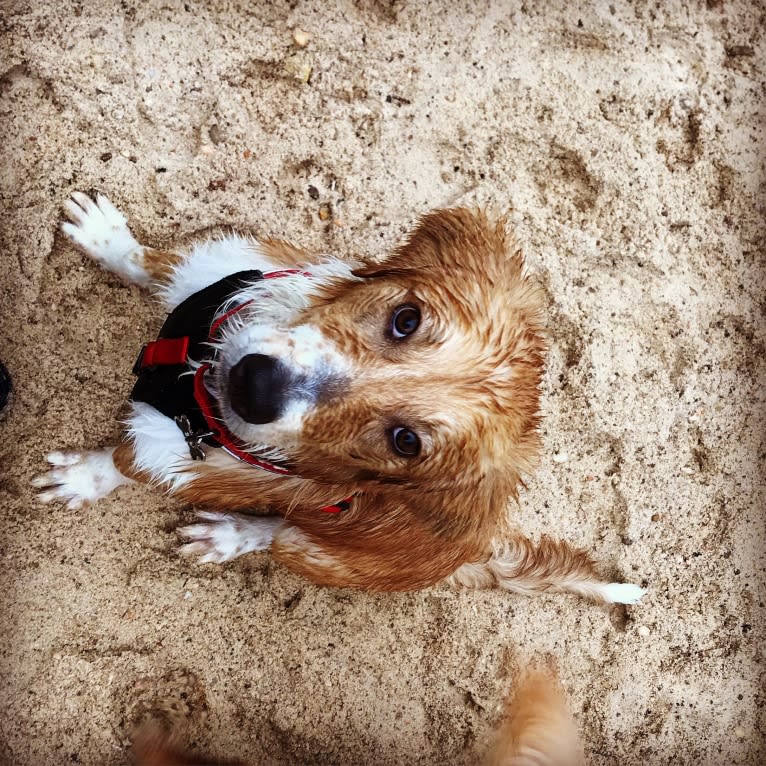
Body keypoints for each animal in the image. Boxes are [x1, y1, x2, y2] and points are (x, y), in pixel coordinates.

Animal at [34, 194, 648, 608]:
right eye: (406, 319)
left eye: (405, 442)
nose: (255, 384)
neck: (196, 373)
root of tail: (474, 551)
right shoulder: (222, 270)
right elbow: (154, 264)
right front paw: (108, 239)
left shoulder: (174, 458)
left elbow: (123, 460)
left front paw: (81, 478)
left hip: (312, 552)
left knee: (281, 534)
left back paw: (228, 535)